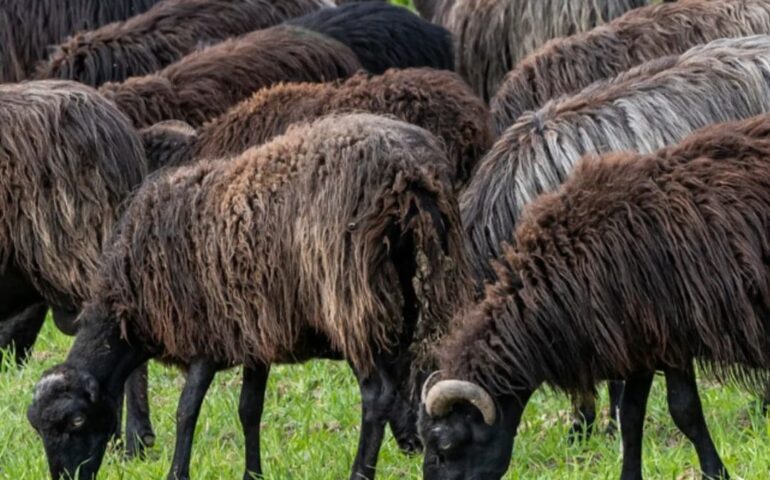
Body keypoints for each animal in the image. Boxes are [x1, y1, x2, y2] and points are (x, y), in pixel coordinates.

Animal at [27, 113, 471, 480]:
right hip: (416, 288)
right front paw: (252, 474)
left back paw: (360, 474)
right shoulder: (254, 333)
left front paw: (177, 472)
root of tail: (406, 174)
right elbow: (249, 409)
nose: (66, 479)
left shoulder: (206, 331)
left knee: (377, 394)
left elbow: (187, 409)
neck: (128, 304)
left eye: (76, 422)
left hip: (349, 301)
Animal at [418, 113, 770, 480]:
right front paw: (629, 476)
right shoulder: (642, 343)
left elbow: (684, 411)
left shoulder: (672, 339)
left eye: (445, 445)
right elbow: (630, 416)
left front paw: (716, 472)